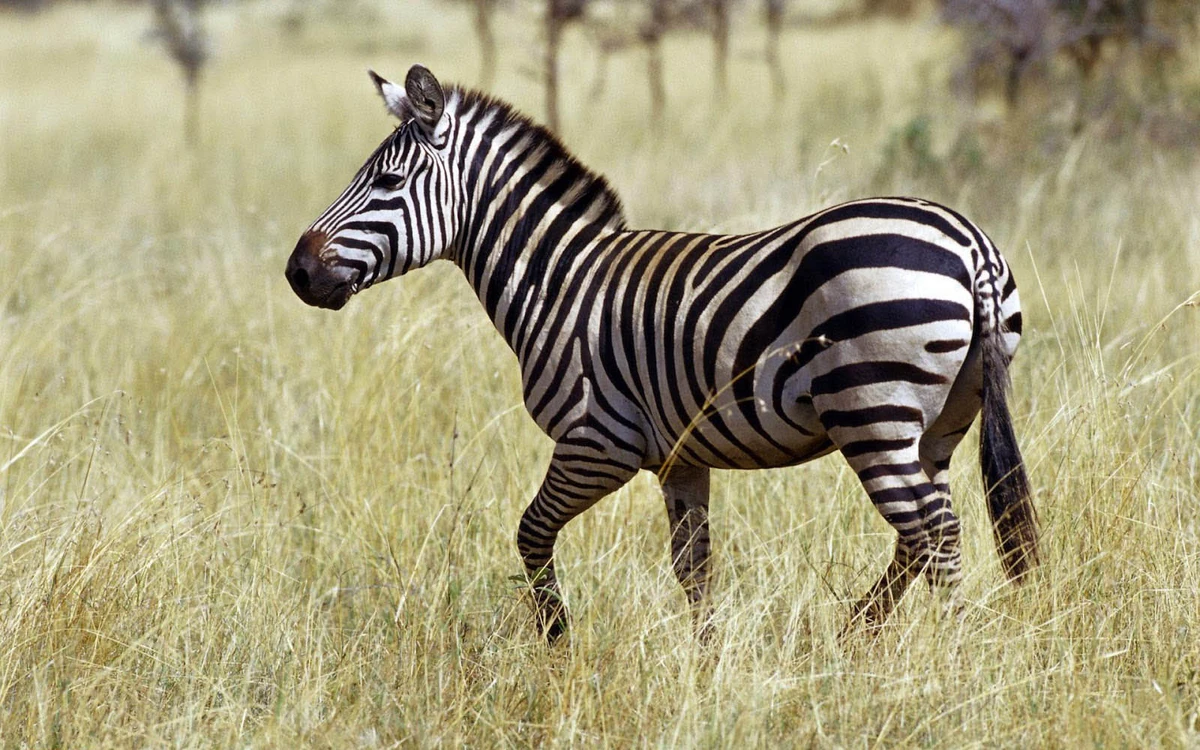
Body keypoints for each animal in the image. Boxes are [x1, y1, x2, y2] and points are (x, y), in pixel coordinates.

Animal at [285, 64, 1039, 642]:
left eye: (387, 184)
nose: (297, 272)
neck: (559, 280)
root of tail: (971, 242)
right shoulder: (682, 456)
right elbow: (694, 568)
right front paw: (705, 663)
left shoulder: (600, 441)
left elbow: (531, 533)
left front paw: (557, 642)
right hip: (939, 421)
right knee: (921, 534)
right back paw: (856, 634)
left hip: (871, 413)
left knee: (936, 533)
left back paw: (947, 655)